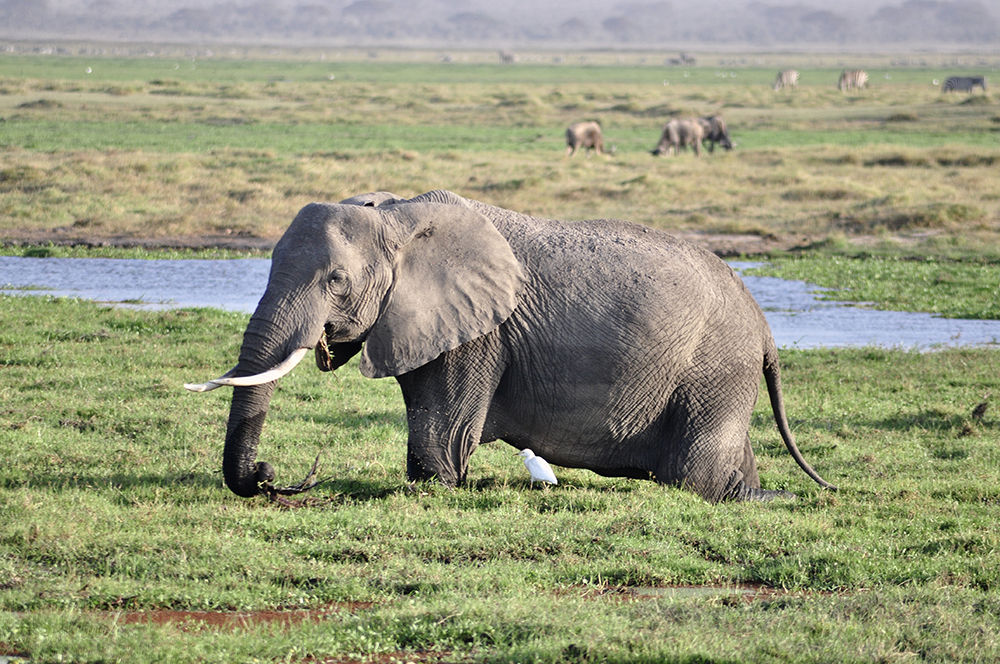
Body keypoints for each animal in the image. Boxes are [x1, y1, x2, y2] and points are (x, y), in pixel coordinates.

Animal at [185, 190, 837, 503]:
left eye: (336, 282)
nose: (271, 476)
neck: (399, 217)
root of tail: (764, 327)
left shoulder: (482, 330)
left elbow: (442, 435)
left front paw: (433, 488)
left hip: (714, 368)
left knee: (694, 477)